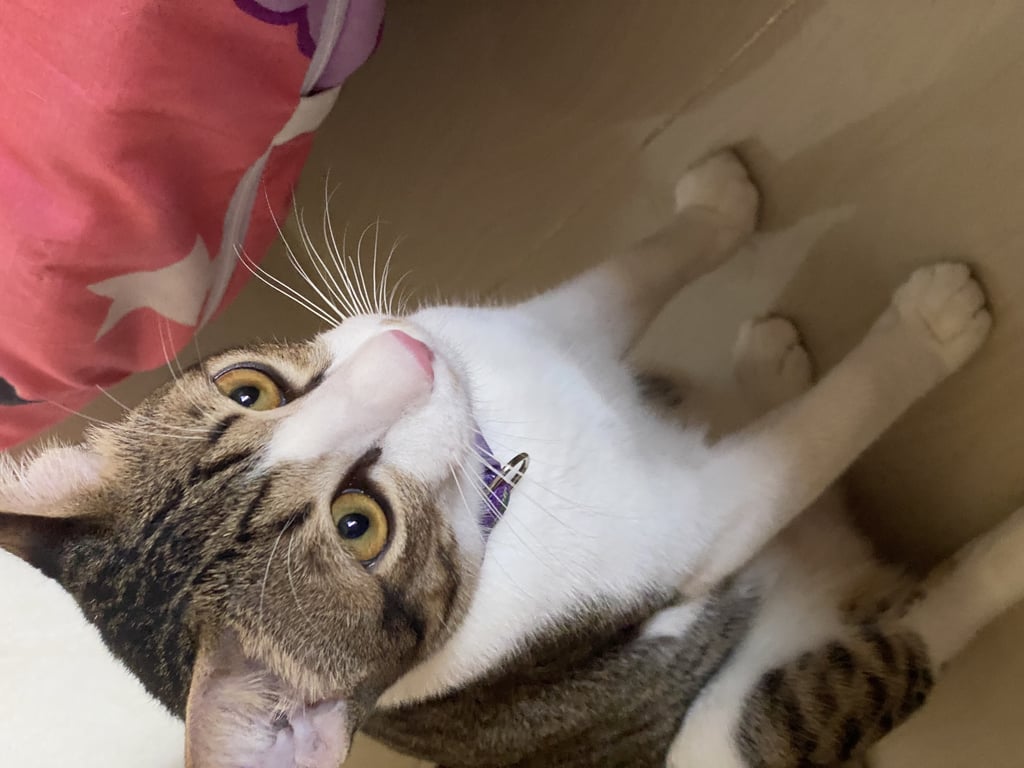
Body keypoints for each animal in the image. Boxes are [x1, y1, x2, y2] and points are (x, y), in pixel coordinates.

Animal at [1, 149, 1020, 768]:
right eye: (359, 525)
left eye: (251, 389)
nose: (405, 356)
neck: (503, 461)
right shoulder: (699, 524)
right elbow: (810, 437)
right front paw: (925, 334)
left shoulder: (533, 329)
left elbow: (633, 273)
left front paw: (719, 209)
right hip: (728, 733)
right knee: (885, 652)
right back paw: (996, 557)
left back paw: (763, 362)